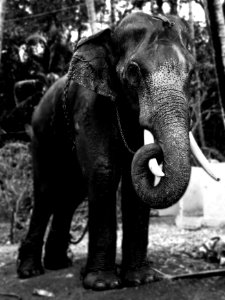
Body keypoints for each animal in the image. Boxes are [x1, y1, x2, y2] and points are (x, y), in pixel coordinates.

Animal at [16, 12, 216, 290]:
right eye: (133, 71)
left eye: (192, 72)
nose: (156, 150)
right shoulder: (89, 109)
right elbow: (103, 173)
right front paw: (102, 284)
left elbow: (136, 184)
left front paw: (141, 279)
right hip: (41, 134)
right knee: (45, 192)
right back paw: (30, 271)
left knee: (71, 195)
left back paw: (59, 263)